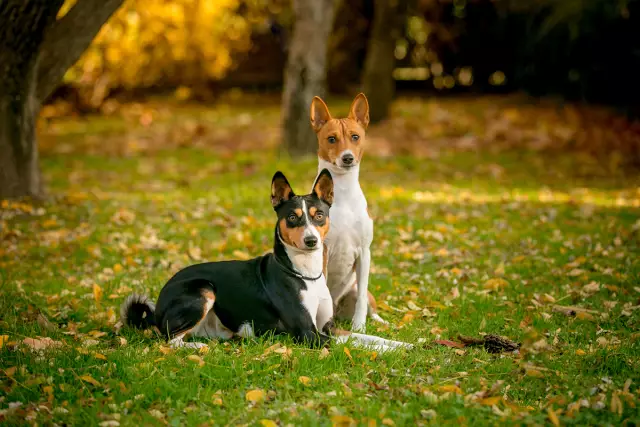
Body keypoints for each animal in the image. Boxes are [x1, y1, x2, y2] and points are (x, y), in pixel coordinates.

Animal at [120, 171, 410, 354]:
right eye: (292, 218)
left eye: (319, 215)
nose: (311, 241)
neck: (305, 274)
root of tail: (158, 306)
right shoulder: (309, 334)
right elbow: (356, 345)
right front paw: (388, 354)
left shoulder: (328, 327)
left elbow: (369, 337)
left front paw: (405, 345)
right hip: (204, 289)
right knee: (169, 339)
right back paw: (197, 347)